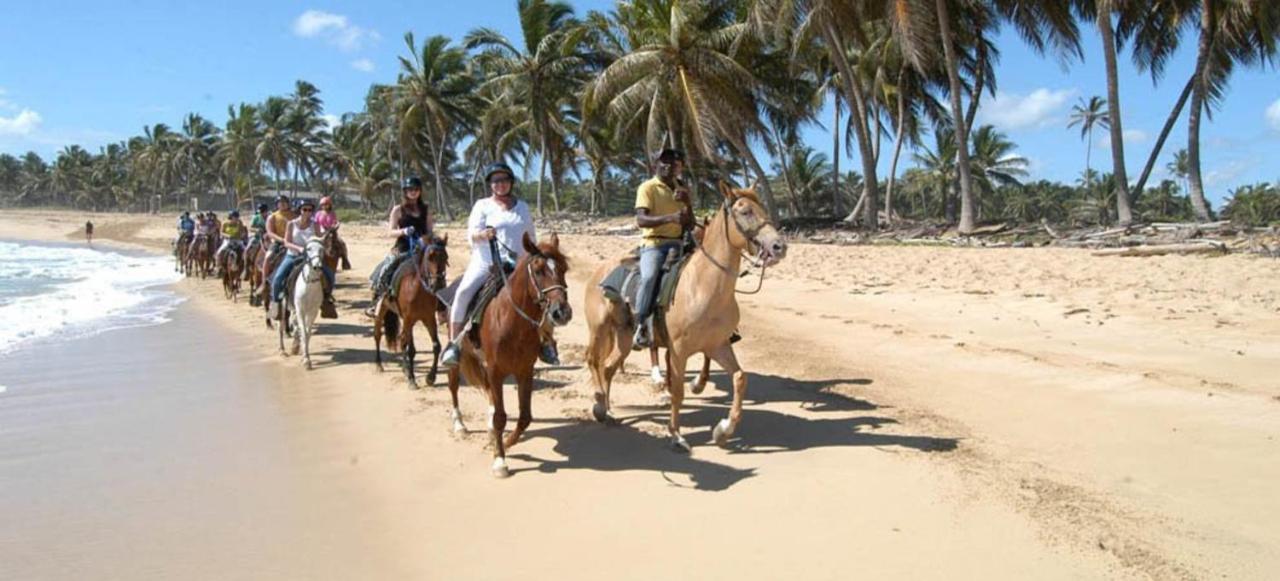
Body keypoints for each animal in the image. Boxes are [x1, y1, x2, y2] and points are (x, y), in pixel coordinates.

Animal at [279, 239, 327, 368]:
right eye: (308, 249)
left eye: (321, 249)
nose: (317, 266)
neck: (309, 285)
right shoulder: (301, 310)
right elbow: (304, 333)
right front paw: (306, 360)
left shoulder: (313, 311)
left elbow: (307, 332)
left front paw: (305, 355)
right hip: (283, 306)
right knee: (281, 325)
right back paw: (282, 350)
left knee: (295, 325)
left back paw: (295, 347)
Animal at [373, 234, 453, 389]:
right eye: (430, 257)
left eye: (445, 257)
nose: (438, 284)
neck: (418, 290)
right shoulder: (409, 319)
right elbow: (408, 348)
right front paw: (411, 378)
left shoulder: (428, 319)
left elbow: (436, 346)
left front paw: (430, 377)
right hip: (383, 311)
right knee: (378, 335)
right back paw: (379, 365)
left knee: (405, 340)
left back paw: (405, 368)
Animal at [448, 231, 573, 476]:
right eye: (539, 270)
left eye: (563, 268)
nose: (562, 312)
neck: (511, 321)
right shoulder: (496, 371)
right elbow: (500, 416)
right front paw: (500, 461)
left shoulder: (524, 371)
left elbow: (524, 417)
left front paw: (504, 443)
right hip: (457, 357)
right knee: (454, 386)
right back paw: (459, 425)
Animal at [586, 181, 783, 450]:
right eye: (744, 211)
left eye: (762, 208)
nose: (779, 246)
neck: (703, 286)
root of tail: (600, 271)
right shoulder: (678, 350)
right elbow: (677, 391)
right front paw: (676, 435)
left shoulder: (717, 345)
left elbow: (740, 378)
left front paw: (723, 431)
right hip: (599, 330)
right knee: (593, 361)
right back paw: (598, 405)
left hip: (625, 337)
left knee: (607, 368)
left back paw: (607, 412)